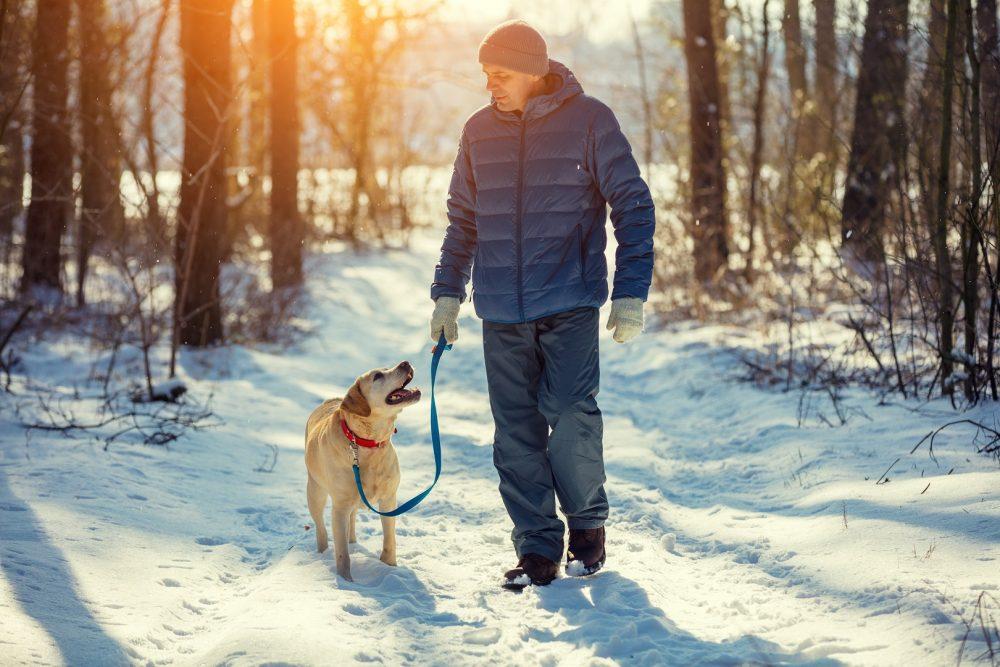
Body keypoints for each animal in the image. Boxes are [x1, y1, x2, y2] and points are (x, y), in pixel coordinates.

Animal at [300, 360, 418, 580]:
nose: (405, 362)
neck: (366, 442)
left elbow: (389, 540)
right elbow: (342, 554)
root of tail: (331, 400)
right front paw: (345, 581)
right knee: (321, 529)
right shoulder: (339, 507)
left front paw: (390, 568)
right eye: (378, 376)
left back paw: (353, 542)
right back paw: (322, 553)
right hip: (315, 491)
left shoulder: (389, 499)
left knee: (352, 520)